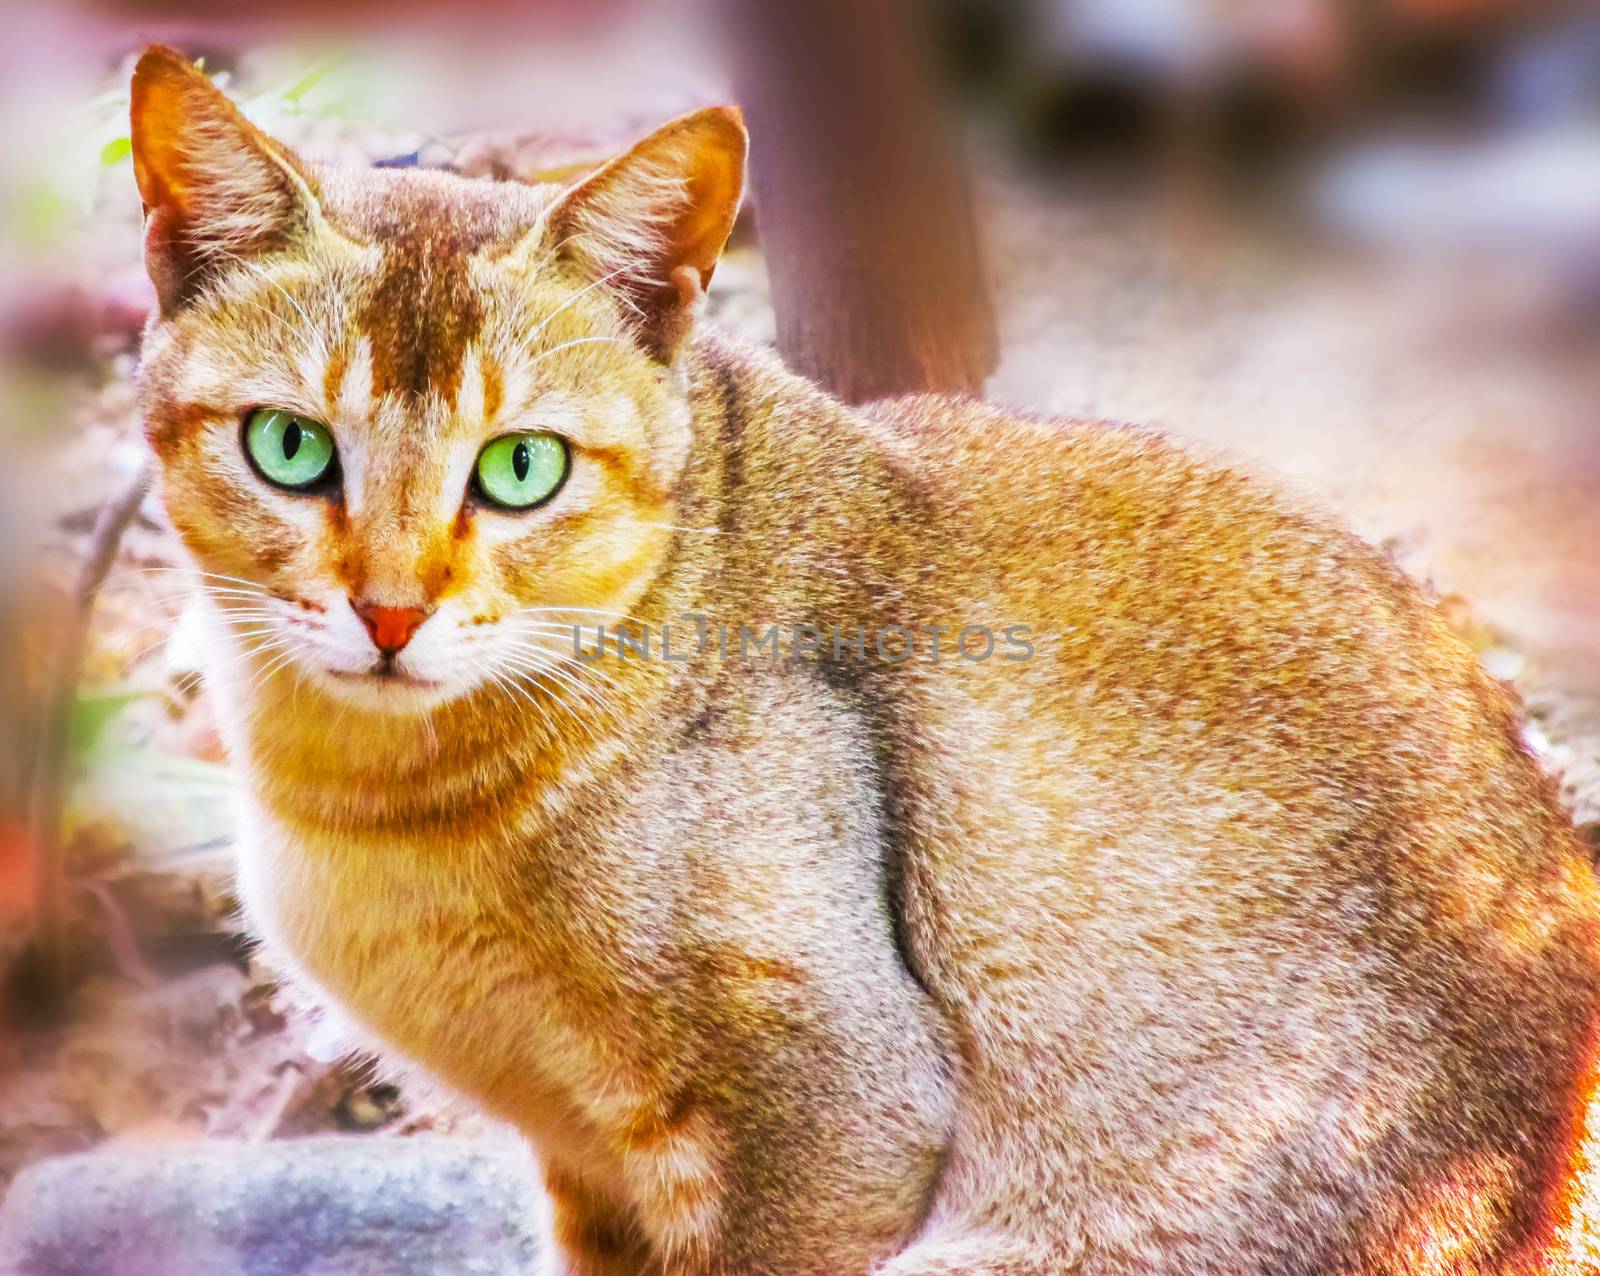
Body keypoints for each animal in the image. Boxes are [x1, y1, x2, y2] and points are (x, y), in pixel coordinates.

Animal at [131, 44, 1600, 1276]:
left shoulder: (835, 1109)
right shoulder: (591, 1168)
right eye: (289, 448)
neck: (368, 799)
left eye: (521, 470)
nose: (387, 614)